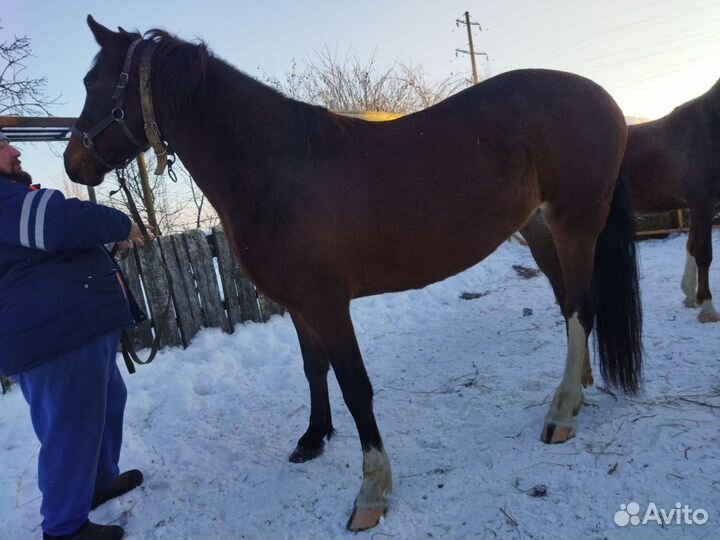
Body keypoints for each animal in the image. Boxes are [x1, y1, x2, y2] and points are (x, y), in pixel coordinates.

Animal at [64, 16, 643, 531]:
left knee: (580, 307)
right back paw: (578, 385)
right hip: (540, 228)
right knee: (569, 304)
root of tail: (602, 97)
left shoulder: (327, 304)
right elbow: (313, 369)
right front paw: (313, 438)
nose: (73, 164)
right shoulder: (299, 305)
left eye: (92, 83)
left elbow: (354, 386)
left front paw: (372, 491)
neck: (277, 167)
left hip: (575, 225)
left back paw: (563, 413)